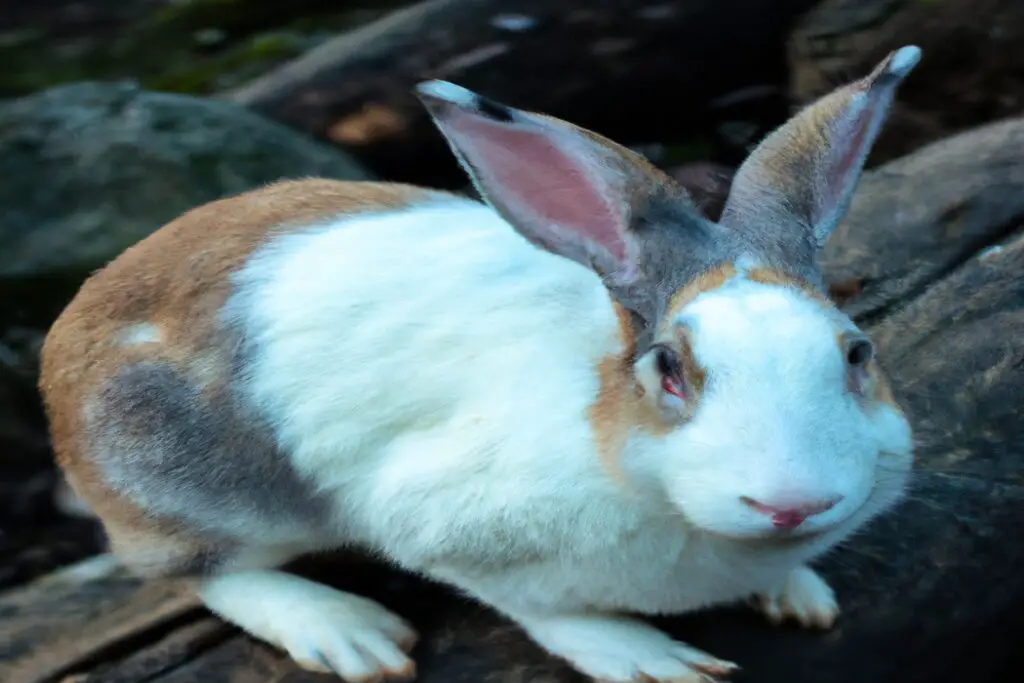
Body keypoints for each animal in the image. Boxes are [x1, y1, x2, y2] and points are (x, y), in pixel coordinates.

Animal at [38, 45, 921, 683]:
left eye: (857, 351)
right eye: (669, 367)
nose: (793, 503)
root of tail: (60, 351)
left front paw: (799, 594)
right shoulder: (445, 530)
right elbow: (549, 613)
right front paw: (650, 659)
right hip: (202, 484)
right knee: (200, 573)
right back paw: (350, 633)